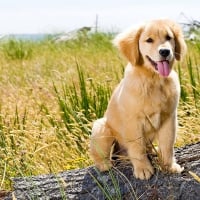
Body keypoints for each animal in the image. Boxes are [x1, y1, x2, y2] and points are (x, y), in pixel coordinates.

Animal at [90, 19, 187, 180]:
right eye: (149, 40)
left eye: (168, 38)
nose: (165, 52)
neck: (154, 80)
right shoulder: (133, 122)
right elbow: (137, 147)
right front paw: (143, 169)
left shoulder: (169, 118)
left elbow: (167, 145)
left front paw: (169, 166)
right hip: (101, 127)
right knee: (100, 155)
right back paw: (105, 165)